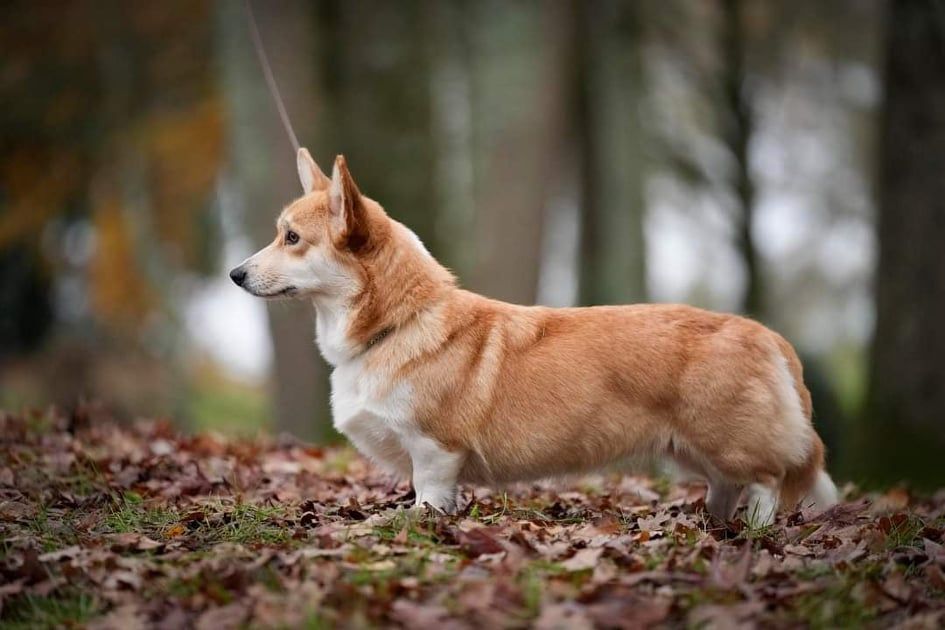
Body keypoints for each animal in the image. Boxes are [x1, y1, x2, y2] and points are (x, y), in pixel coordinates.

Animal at [232, 148, 836, 528]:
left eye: (291, 238)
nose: (234, 274)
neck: (395, 324)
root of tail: (769, 336)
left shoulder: (435, 448)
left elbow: (429, 493)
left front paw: (414, 523)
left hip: (725, 440)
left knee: (766, 480)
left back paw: (754, 529)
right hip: (690, 449)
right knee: (727, 486)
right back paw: (712, 523)